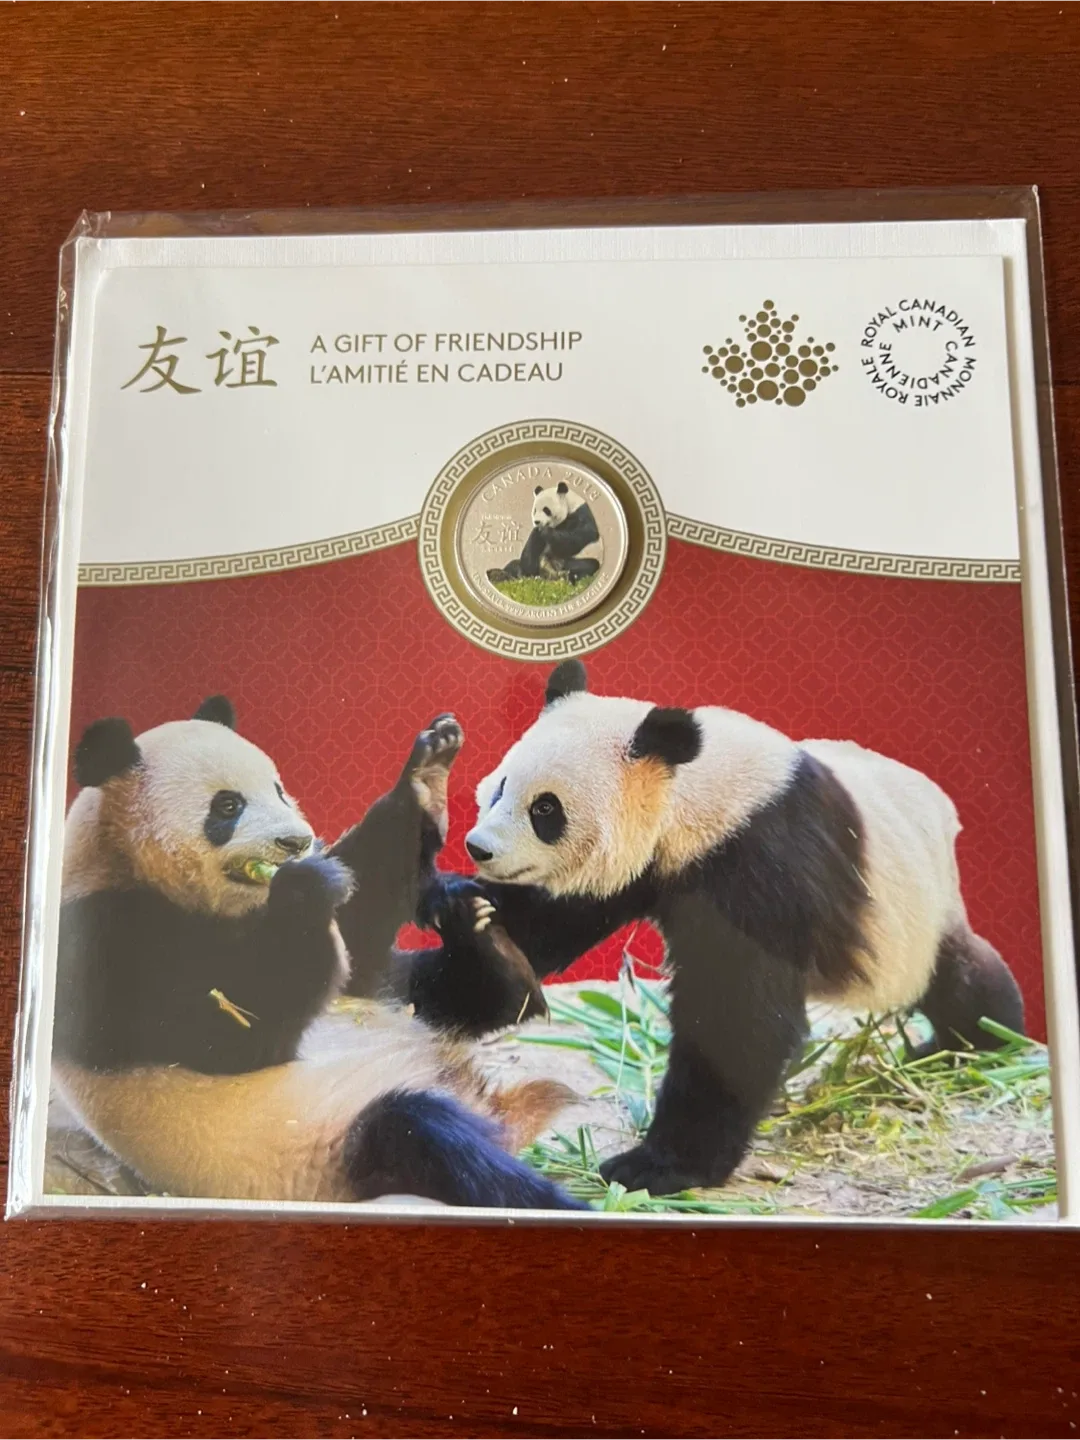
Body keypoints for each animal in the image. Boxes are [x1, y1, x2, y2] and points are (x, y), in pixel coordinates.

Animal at [51, 695, 585, 1210]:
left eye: (279, 789)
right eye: (227, 806)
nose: (297, 842)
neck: (120, 858)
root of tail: (489, 1106)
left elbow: (357, 925)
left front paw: (424, 775)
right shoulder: (109, 939)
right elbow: (233, 1033)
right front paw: (304, 889)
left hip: (398, 1002)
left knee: (445, 991)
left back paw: (485, 942)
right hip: (335, 1146)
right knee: (427, 1136)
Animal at [407, 660, 1026, 1197]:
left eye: (545, 809)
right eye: (501, 786)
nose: (479, 847)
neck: (693, 789)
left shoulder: (757, 855)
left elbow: (737, 1015)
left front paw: (657, 1166)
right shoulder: (635, 871)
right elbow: (543, 926)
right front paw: (466, 918)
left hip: (914, 913)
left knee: (959, 977)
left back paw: (984, 1038)